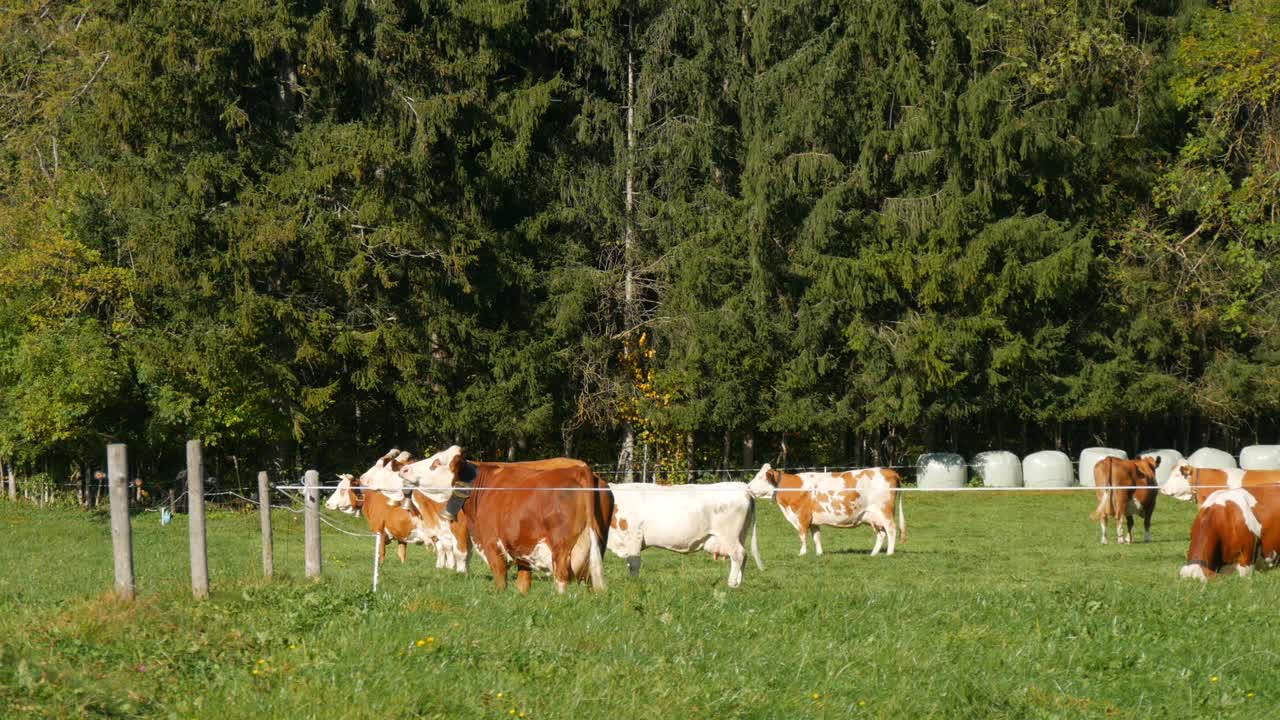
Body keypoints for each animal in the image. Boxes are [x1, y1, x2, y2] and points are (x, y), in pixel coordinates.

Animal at [394, 445, 614, 591]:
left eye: (437, 462)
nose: (404, 469)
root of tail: (580, 470)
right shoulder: (523, 551)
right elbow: (523, 585)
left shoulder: (492, 546)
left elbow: (500, 580)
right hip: (593, 552)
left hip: (561, 551)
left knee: (561, 581)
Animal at [606, 479, 762, 586]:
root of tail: (742, 486)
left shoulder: (633, 536)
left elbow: (634, 564)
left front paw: (634, 584)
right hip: (740, 535)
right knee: (744, 556)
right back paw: (738, 584)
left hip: (729, 536)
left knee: (738, 554)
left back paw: (731, 584)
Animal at [747, 461, 906, 558]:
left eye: (760, 477)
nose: (747, 487)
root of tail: (889, 471)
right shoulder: (813, 520)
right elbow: (816, 537)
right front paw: (819, 554)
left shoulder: (802, 517)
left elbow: (802, 536)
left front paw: (802, 553)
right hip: (872, 516)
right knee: (882, 534)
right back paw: (873, 554)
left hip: (884, 511)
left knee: (891, 529)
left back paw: (889, 553)